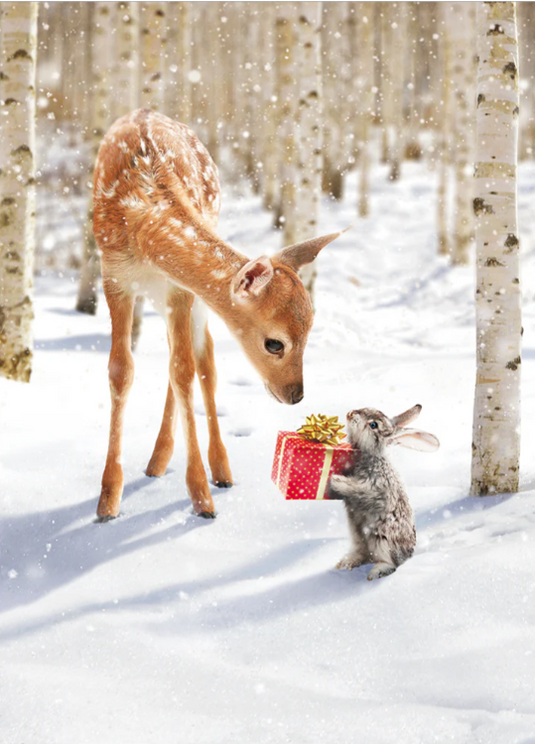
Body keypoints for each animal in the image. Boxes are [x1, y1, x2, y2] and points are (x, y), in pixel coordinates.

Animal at [92, 109, 343, 521]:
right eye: (275, 343)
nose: (296, 395)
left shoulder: (179, 289)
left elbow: (184, 370)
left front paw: (201, 497)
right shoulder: (113, 275)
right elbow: (120, 371)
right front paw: (108, 500)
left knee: (200, 358)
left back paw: (218, 470)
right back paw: (157, 463)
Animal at [328, 404, 439, 580]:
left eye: (373, 425)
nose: (350, 414)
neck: (372, 455)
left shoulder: (376, 489)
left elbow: (358, 490)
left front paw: (335, 480)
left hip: (383, 539)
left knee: (390, 563)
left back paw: (375, 572)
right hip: (358, 538)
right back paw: (344, 564)